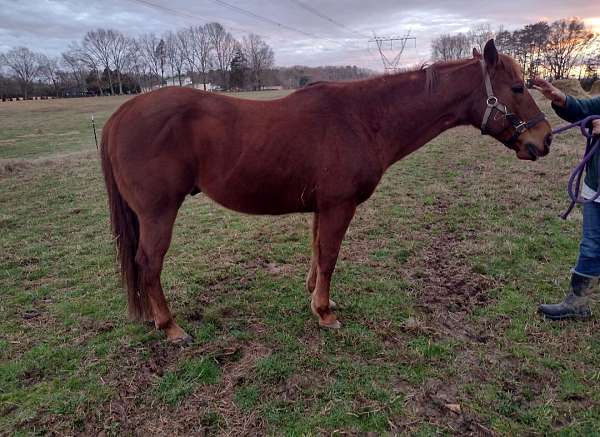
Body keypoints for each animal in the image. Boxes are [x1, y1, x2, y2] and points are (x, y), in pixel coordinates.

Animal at [101, 40, 552, 340]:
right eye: (517, 88)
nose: (545, 139)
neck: (364, 118)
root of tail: (123, 113)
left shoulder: (321, 207)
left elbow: (317, 253)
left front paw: (313, 297)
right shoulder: (339, 205)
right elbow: (331, 257)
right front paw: (325, 313)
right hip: (158, 213)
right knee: (149, 264)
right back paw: (170, 326)